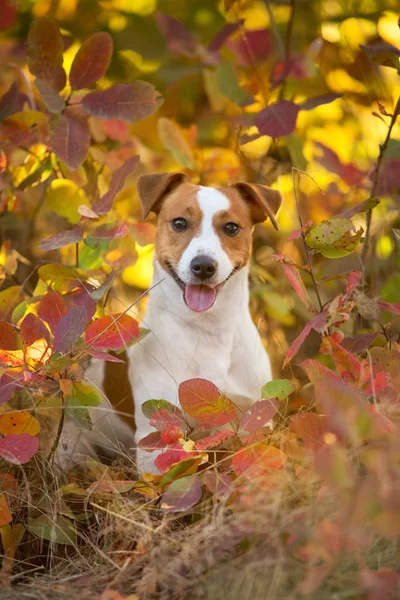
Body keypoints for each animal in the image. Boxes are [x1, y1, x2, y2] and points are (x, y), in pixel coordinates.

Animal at [80, 171, 282, 472]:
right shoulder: (157, 435)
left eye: (231, 228)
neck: (209, 331)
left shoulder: (255, 420)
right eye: (179, 223)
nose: (203, 266)